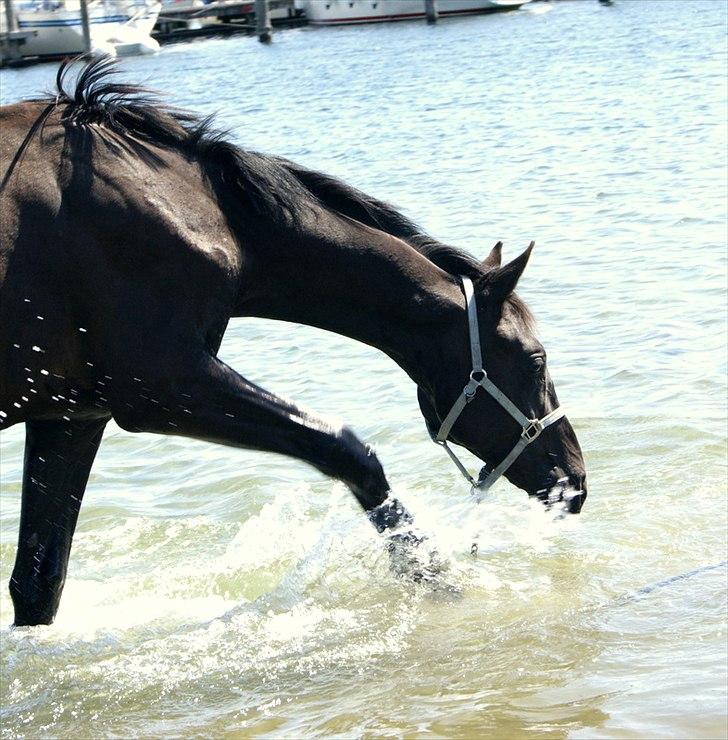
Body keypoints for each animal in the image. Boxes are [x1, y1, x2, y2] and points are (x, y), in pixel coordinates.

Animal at [0, 59, 584, 624]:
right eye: (536, 360)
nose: (575, 479)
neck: (198, 212)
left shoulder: (71, 416)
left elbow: (39, 583)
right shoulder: (163, 388)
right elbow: (348, 450)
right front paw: (430, 573)